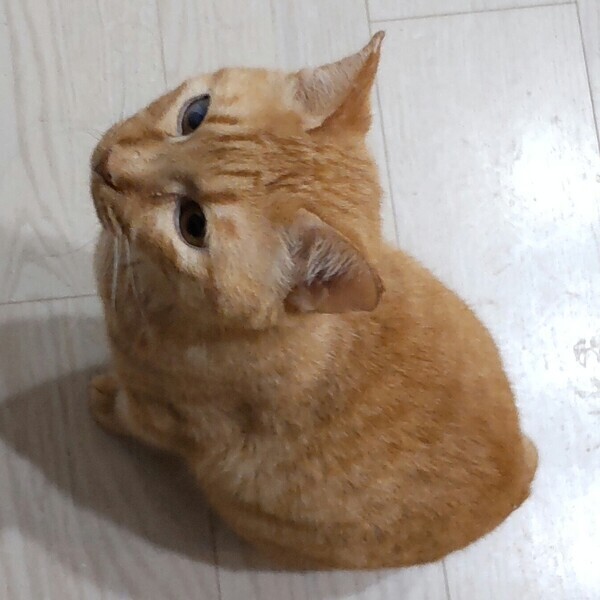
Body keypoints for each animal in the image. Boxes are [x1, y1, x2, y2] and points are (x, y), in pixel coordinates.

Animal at [89, 31, 537, 569]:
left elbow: (129, 414)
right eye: (194, 114)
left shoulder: (164, 417)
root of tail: (518, 482)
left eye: (192, 224)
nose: (107, 165)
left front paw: (104, 401)